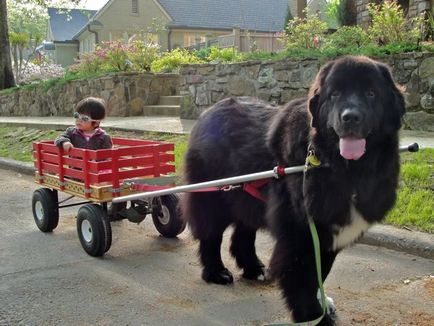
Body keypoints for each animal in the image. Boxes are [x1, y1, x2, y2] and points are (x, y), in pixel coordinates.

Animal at [180, 56, 404, 324]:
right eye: (335, 94)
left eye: (371, 93)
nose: (350, 117)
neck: (343, 167)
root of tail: (208, 111)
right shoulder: (301, 233)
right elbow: (304, 278)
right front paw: (314, 317)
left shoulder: (328, 232)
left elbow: (321, 273)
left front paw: (323, 304)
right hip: (213, 194)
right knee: (211, 234)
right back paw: (216, 273)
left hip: (250, 197)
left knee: (242, 234)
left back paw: (255, 269)